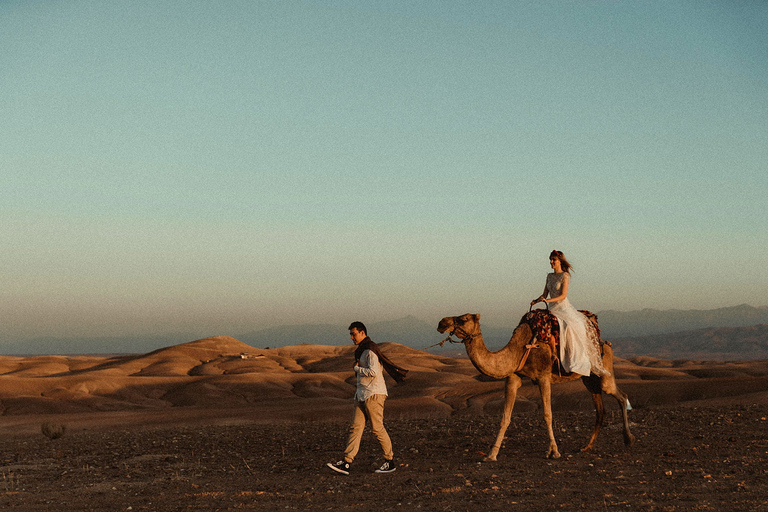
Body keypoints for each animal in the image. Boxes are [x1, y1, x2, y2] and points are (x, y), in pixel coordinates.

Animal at [436, 312, 632, 460]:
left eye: (463, 319)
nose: (441, 322)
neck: (519, 349)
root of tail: (605, 342)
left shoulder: (543, 376)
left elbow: (547, 414)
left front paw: (554, 452)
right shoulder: (513, 377)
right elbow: (505, 417)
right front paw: (491, 454)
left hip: (603, 370)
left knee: (620, 395)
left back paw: (628, 439)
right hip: (589, 379)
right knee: (600, 409)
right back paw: (587, 447)